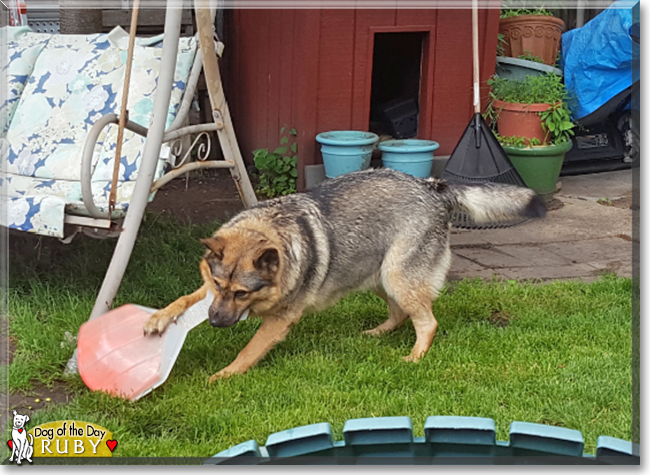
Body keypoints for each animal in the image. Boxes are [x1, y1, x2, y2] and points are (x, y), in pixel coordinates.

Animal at [142, 169, 540, 382]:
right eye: (219, 285)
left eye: (242, 293)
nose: (213, 322)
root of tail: (431, 186)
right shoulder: (206, 291)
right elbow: (182, 299)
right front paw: (158, 319)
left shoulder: (279, 321)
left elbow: (248, 350)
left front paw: (224, 375)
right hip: (375, 274)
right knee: (399, 313)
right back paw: (376, 333)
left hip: (395, 275)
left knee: (426, 322)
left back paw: (414, 357)